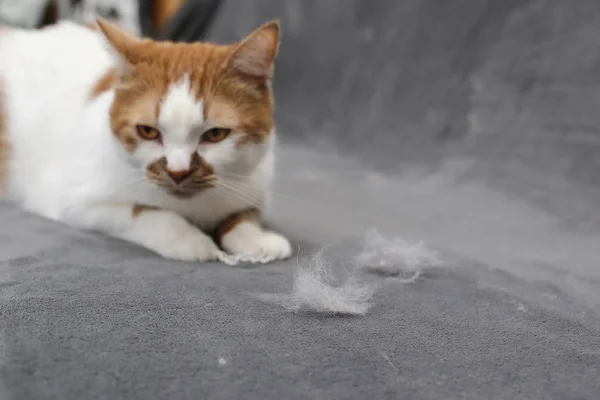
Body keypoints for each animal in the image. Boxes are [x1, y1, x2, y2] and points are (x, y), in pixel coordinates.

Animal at [0, 18, 292, 262]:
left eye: (215, 134)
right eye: (148, 132)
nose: (177, 172)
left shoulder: (254, 185)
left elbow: (243, 216)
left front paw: (255, 238)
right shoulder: (75, 201)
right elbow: (145, 212)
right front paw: (188, 239)